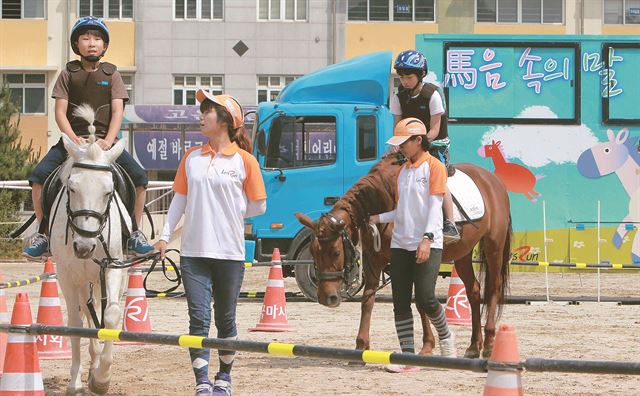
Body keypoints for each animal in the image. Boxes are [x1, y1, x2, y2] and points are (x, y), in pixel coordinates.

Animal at [50, 105, 131, 396]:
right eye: (72, 188)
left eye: (109, 191)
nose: (84, 247)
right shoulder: (66, 275)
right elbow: (75, 323)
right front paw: (75, 382)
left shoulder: (114, 267)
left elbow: (111, 315)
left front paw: (102, 378)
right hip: (82, 278)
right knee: (86, 311)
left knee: (97, 309)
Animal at [294, 155, 510, 358]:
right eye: (313, 252)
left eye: (336, 252)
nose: (326, 297)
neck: (383, 201)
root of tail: (492, 180)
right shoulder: (375, 259)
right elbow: (369, 300)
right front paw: (362, 345)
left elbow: (420, 302)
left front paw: (427, 345)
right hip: (463, 253)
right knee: (474, 291)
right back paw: (474, 346)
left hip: (494, 246)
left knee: (493, 289)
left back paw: (489, 343)